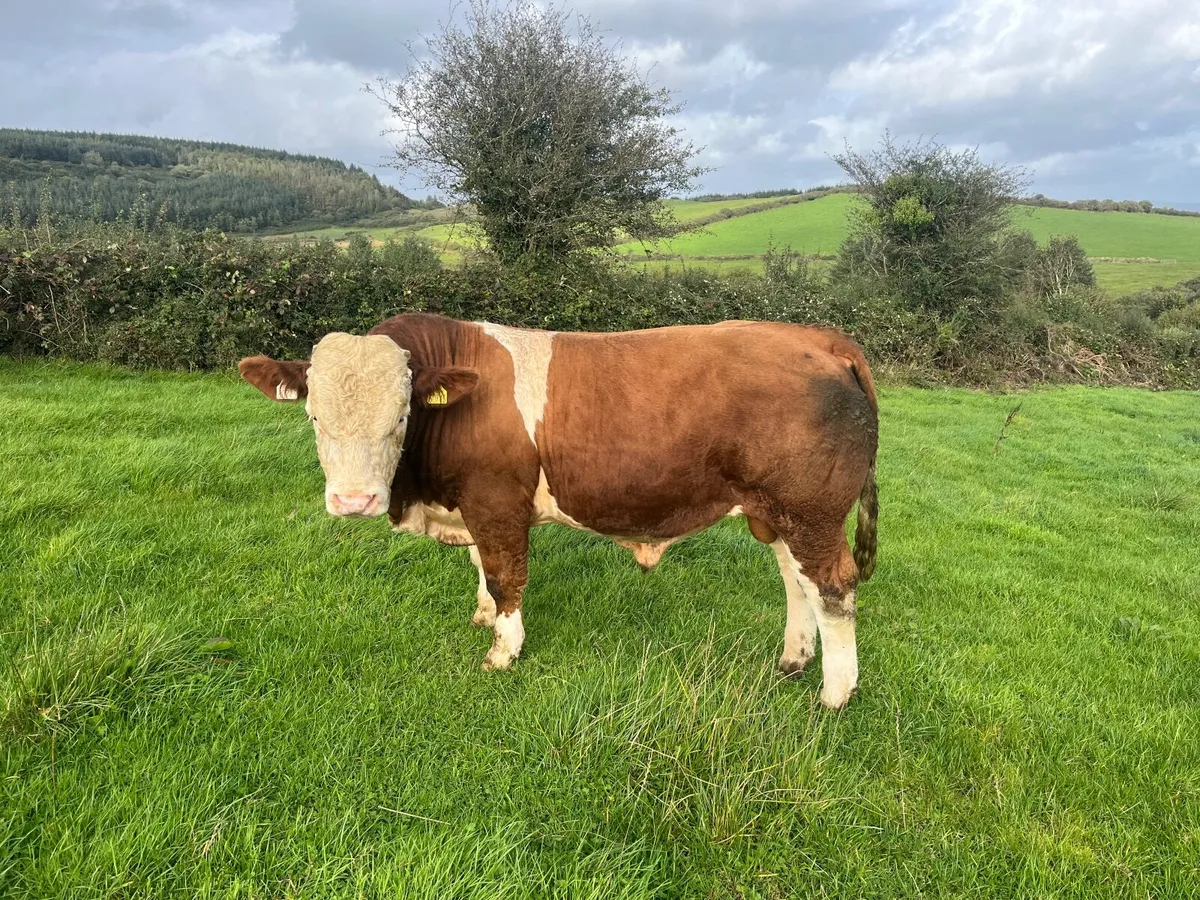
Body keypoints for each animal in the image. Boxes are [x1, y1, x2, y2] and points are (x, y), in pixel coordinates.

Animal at [238, 313, 879, 708]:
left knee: (833, 589)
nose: (354, 501)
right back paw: (793, 660)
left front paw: (502, 651)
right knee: (796, 581)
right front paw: (483, 616)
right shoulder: (474, 507)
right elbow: (482, 568)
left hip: (812, 513)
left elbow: (505, 575)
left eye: (400, 415)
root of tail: (822, 338)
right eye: (313, 416)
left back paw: (835, 694)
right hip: (780, 513)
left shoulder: (496, 502)